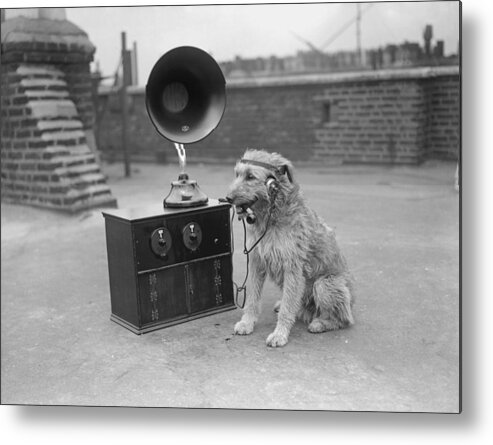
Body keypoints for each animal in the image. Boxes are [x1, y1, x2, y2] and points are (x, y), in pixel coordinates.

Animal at [225, 149, 356, 346]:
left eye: (250, 176)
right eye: (237, 174)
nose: (227, 198)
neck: (271, 217)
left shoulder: (292, 268)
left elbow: (288, 309)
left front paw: (279, 334)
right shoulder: (256, 262)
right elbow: (253, 299)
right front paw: (247, 323)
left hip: (324, 284)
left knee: (344, 319)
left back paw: (321, 323)